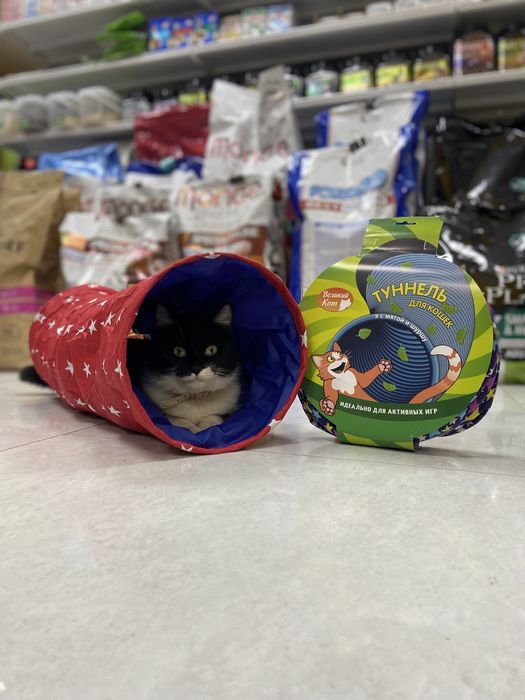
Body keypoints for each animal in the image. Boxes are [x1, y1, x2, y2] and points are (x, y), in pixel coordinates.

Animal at [138, 304, 241, 433]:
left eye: (211, 349)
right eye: (179, 351)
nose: (196, 368)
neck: (195, 399)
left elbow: (214, 418)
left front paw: (204, 427)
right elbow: (177, 420)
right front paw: (192, 429)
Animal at [313, 341, 462, 416]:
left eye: (340, 354)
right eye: (330, 358)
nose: (340, 358)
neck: (342, 376)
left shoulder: (357, 376)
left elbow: (365, 379)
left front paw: (382, 366)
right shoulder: (329, 387)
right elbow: (331, 396)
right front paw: (329, 405)